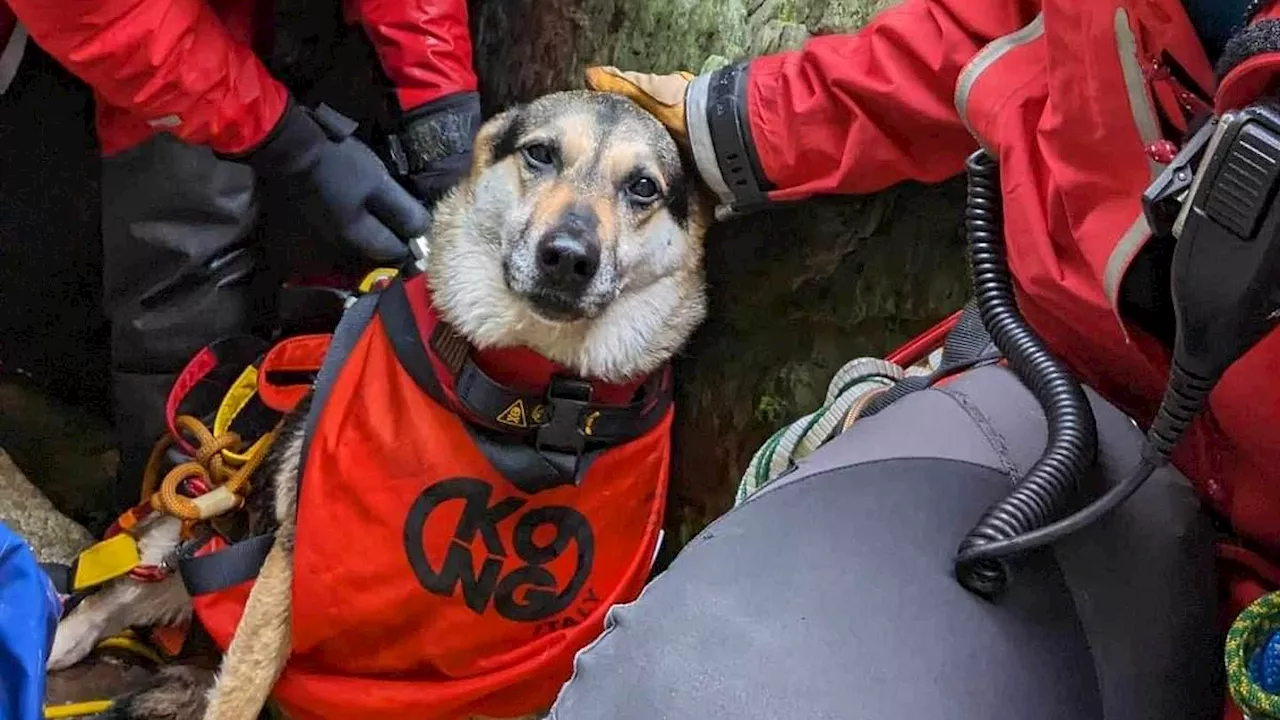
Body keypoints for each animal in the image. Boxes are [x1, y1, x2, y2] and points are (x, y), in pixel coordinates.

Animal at [47, 89, 711, 717]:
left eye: (643, 187)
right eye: (541, 154)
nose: (568, 256)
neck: (536, 405)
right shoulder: (281, 576)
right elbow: (237, 695)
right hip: (185, 538)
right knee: (102, 602)